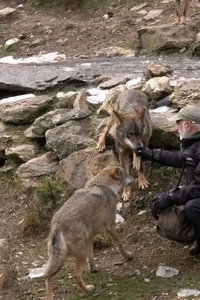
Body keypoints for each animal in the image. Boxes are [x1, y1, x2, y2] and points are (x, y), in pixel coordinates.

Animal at [45, 165, 133, 298]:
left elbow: (91, 257)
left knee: (48, 277)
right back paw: (88, 290)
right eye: (126, 173)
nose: (133, 178)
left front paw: (93, 269)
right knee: (76, 275)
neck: (104, 186)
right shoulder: (110, 226)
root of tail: (57, 225)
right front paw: (127, 256)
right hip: (80, 254)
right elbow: (120, 244)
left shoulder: (90, 237)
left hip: (61, 258)